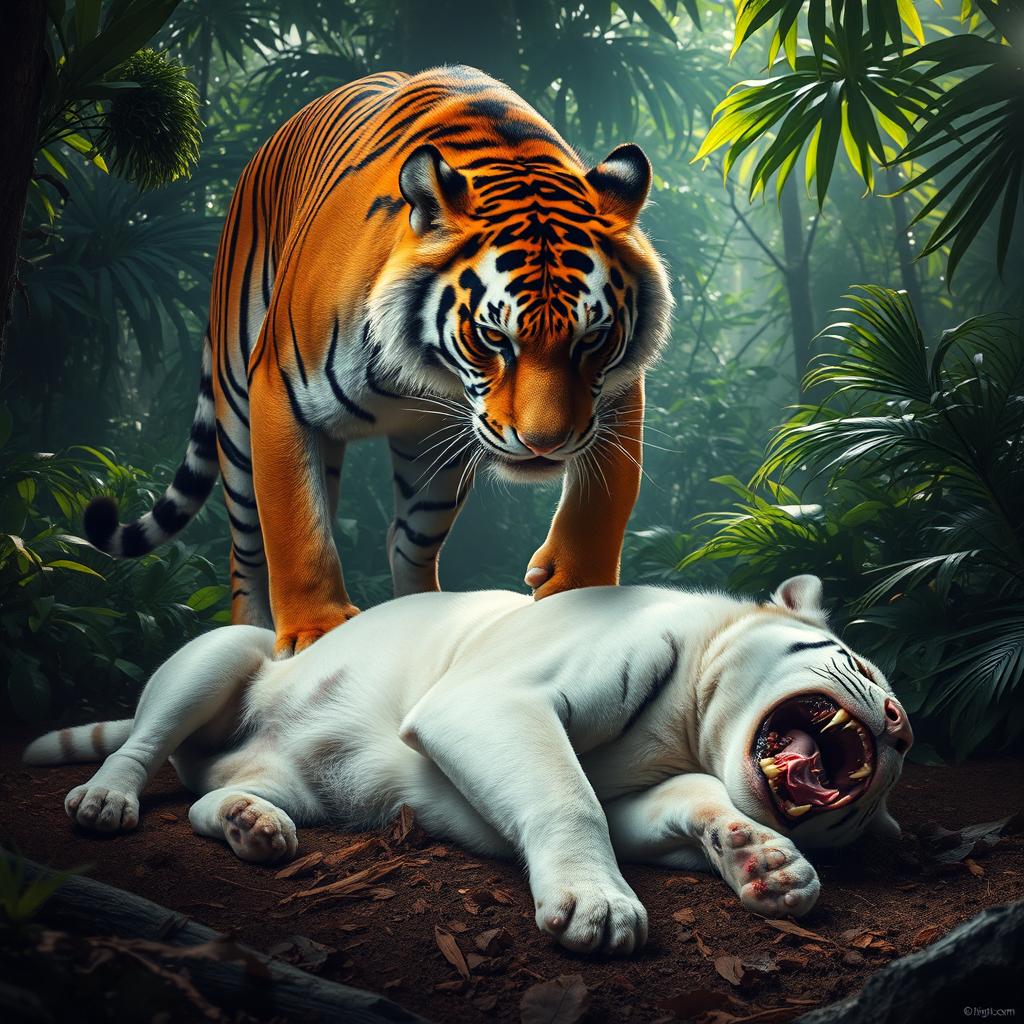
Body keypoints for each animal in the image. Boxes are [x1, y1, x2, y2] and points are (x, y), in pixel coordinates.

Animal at [26, 574, 912, 956]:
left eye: (873, 808)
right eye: (863, 667)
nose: (901, 730)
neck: (688, 729)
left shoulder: (646, 791)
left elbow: (687, 802)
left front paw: (766, 863)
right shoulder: (494, 699)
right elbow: (567, 800)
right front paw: (599, 908)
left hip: (287, 780)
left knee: (210, 797)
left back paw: (255, 825)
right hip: (226, 649)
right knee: (145, 744)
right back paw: (104, 802)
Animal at [82, 65, 673, 656]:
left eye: (592, 339)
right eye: (492, 337)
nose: (544, 444)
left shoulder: (615, 388)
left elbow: (605, 493)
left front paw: (577, 588)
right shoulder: (276, 389)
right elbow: (296, 524)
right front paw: (314, 630)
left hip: (431, 463)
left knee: (406, 542)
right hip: (237, 416)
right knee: (249, 549)